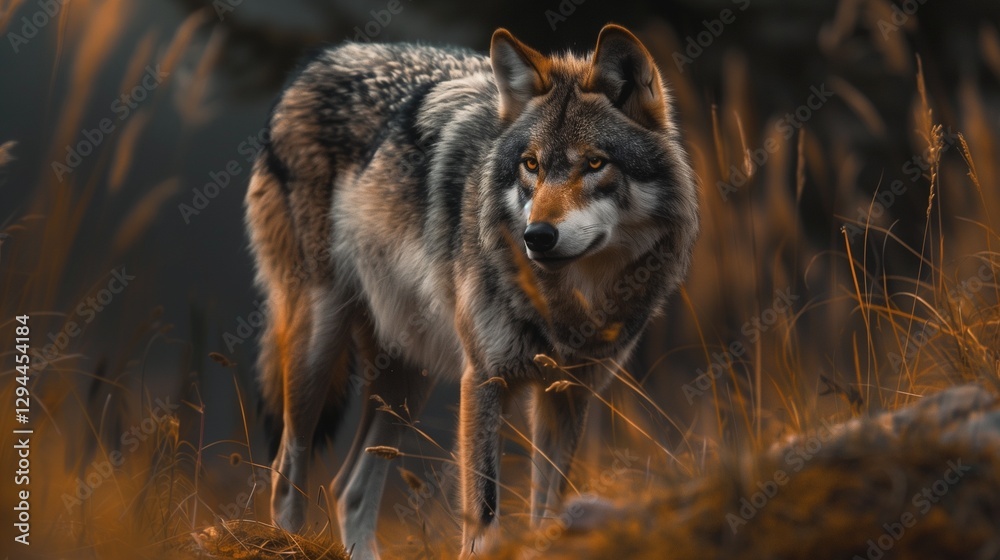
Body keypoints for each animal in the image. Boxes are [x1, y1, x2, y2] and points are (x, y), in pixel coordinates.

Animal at [245, 24, 698, 558]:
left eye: (594, 163)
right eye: (530, 165)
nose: (537, 236)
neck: (567, 304)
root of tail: (322, 59)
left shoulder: (569, 393)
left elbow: (548, 508)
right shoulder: (484, 379)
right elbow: (484, 511)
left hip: (406, 378)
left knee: (347, 488)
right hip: (318, 347)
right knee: (285, 472)